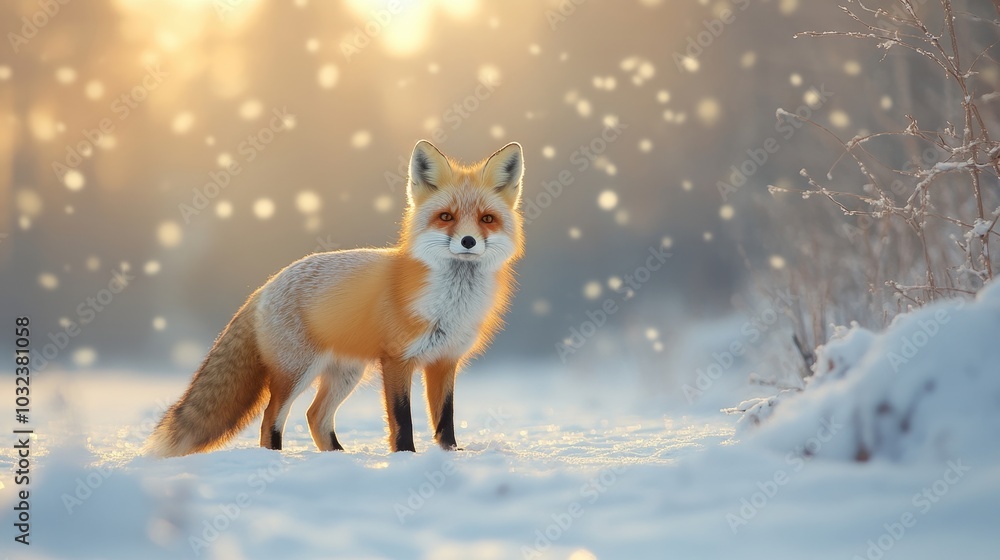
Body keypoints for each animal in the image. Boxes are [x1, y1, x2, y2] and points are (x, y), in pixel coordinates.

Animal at [146, 140, 525, 457]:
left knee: (315, 416)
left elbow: (445, 420)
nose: (468, 242)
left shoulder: (445, 361)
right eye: (446, 216)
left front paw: (450, 456)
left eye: (487, 219)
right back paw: (276, 459)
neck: (450, 304)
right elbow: (402, 420)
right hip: (297, 371)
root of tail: (266, 285)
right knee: (272, 417)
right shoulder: (397, 360)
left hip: (346, 373)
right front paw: (406, 458)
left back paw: (338, 457)